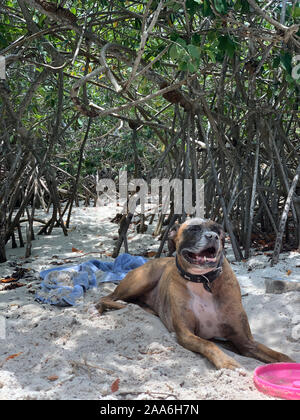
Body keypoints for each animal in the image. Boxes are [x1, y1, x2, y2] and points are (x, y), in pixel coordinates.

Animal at [95, 218, 292, 370]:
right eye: (193, 229)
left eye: (217, 230)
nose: (213, 236)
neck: (203, 281)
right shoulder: (187, 334)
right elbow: (209, 344)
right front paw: (228, 362)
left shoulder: (246, 342)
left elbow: (280, 356)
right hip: (143, 279)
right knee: (105, 298)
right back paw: (123, 305)